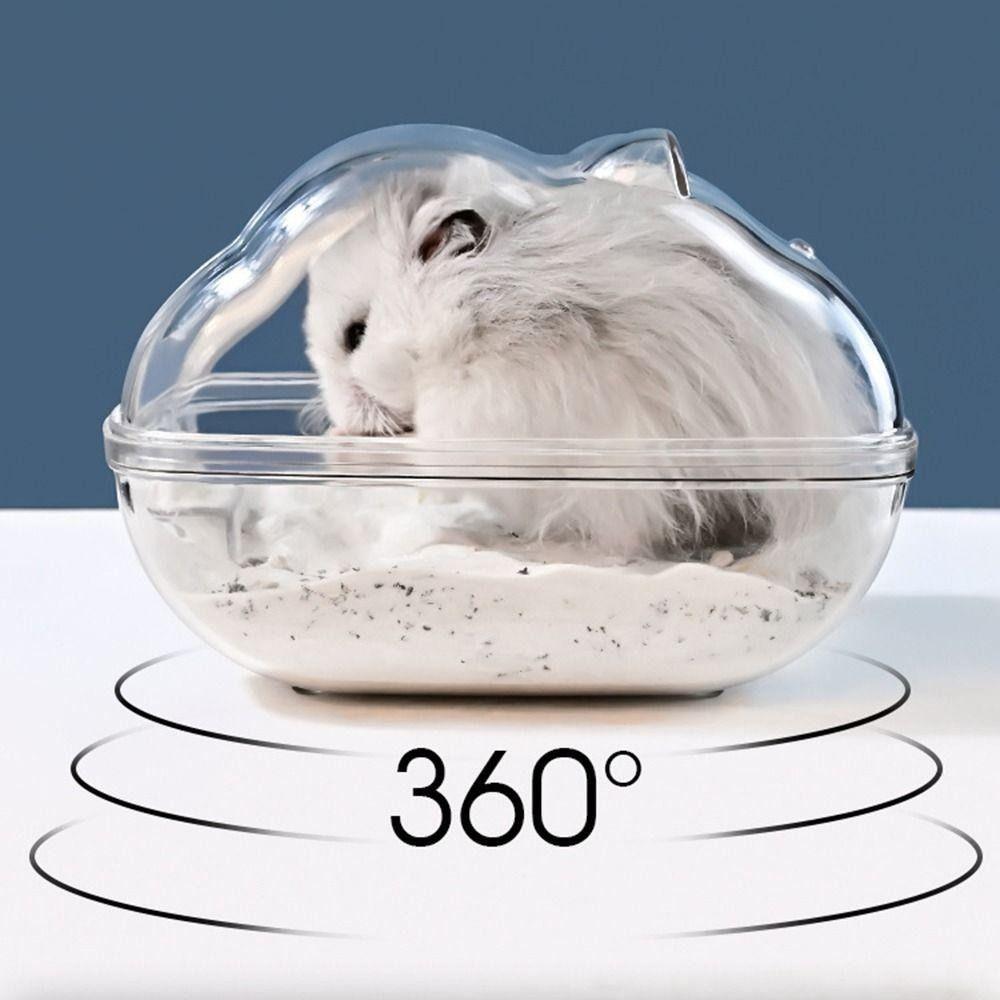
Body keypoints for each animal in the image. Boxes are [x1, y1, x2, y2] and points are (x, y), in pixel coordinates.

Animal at [303, 158, 873, 560]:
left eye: (355, 334)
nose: (336, 417)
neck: (472, 321)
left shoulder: (485, 414)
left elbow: (426, 447)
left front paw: (346, 443)